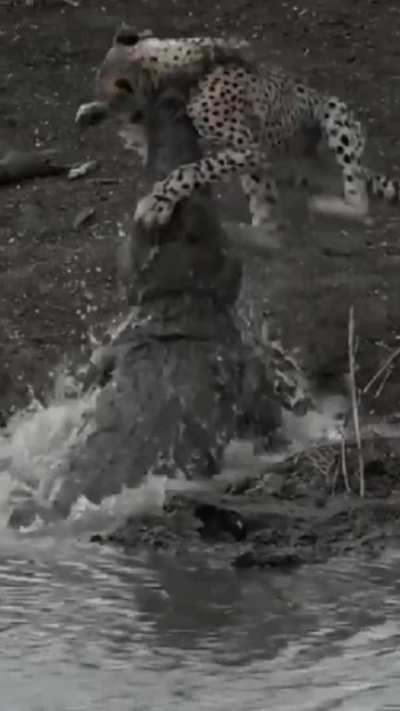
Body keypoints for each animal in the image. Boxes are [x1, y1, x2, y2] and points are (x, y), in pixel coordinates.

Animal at [76, 24, 400, 232]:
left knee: (358, 197)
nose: (109, 110)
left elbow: (188, 170)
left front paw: (157, 203)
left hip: (332, 111)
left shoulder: (249, 148)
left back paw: (328, 205)